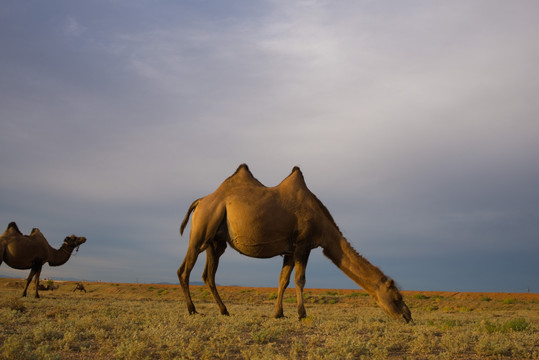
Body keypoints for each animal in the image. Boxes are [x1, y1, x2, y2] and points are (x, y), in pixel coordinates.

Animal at [179, 165, 412, 322]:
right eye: (397, 297)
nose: (408, 316)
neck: (322, 225)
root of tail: (200, 201)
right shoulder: (303, 244)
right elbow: (300, 280)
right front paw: (302, 314)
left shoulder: (289, 250)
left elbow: (283, 280)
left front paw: (278, 314)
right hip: (202, 228)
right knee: (185, 269)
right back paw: (192, 310)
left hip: (216, 241)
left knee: (208, 275)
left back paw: (224, 310)